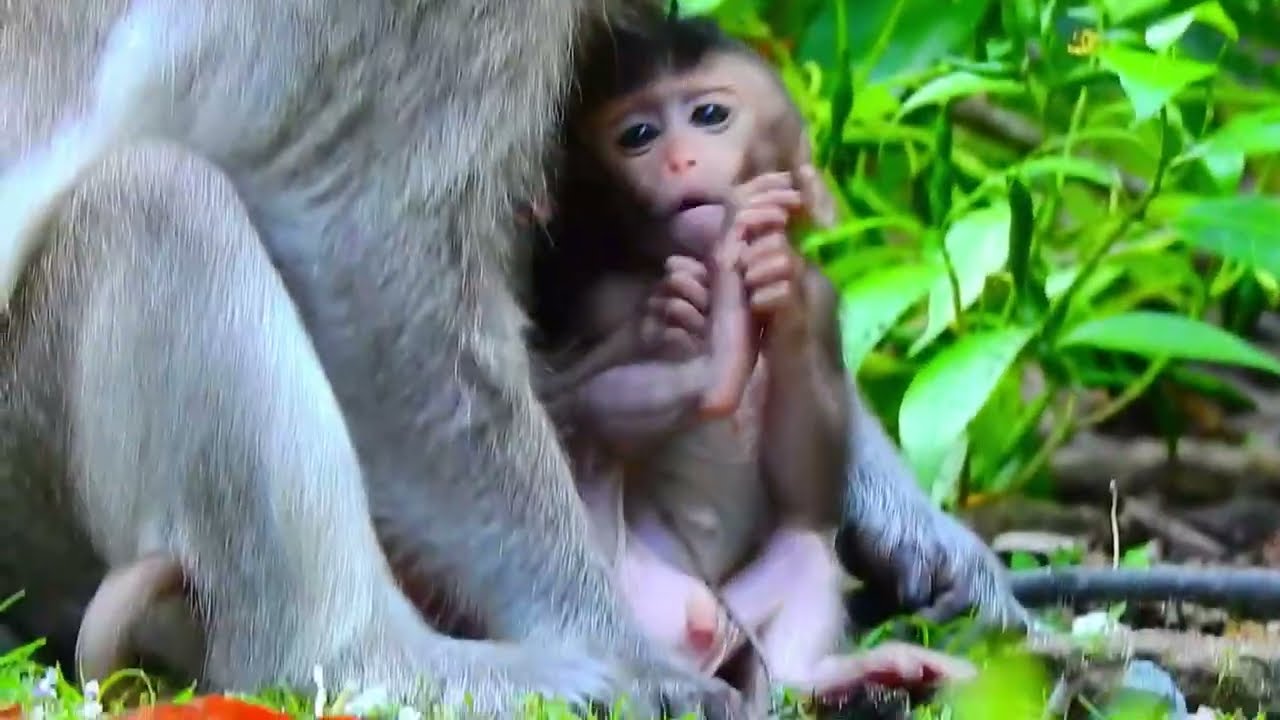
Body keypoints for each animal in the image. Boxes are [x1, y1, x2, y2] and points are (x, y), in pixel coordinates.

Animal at [526, 14, 978, 710]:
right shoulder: (599, 297)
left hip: (737, 618)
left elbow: (805, 484)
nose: (679, 158)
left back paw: (832, 676)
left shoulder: (826, 300)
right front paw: (681, 309)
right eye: (638, 135)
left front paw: (776, 281)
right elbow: (554, 389)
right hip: (630, 593)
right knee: (595, 432)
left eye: (709, 115)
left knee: (808, 544)